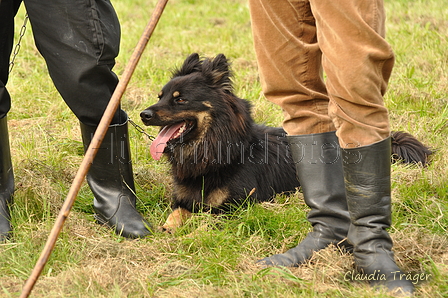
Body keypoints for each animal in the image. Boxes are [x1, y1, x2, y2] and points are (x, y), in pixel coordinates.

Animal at [139, 53, 430, 230]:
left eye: (180, 99)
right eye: (160, 96)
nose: (143, 114)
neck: (213, 150)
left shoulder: (235, 207)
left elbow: (203, 215)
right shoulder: (181, 199)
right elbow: (179, 211)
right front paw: (169, 225)